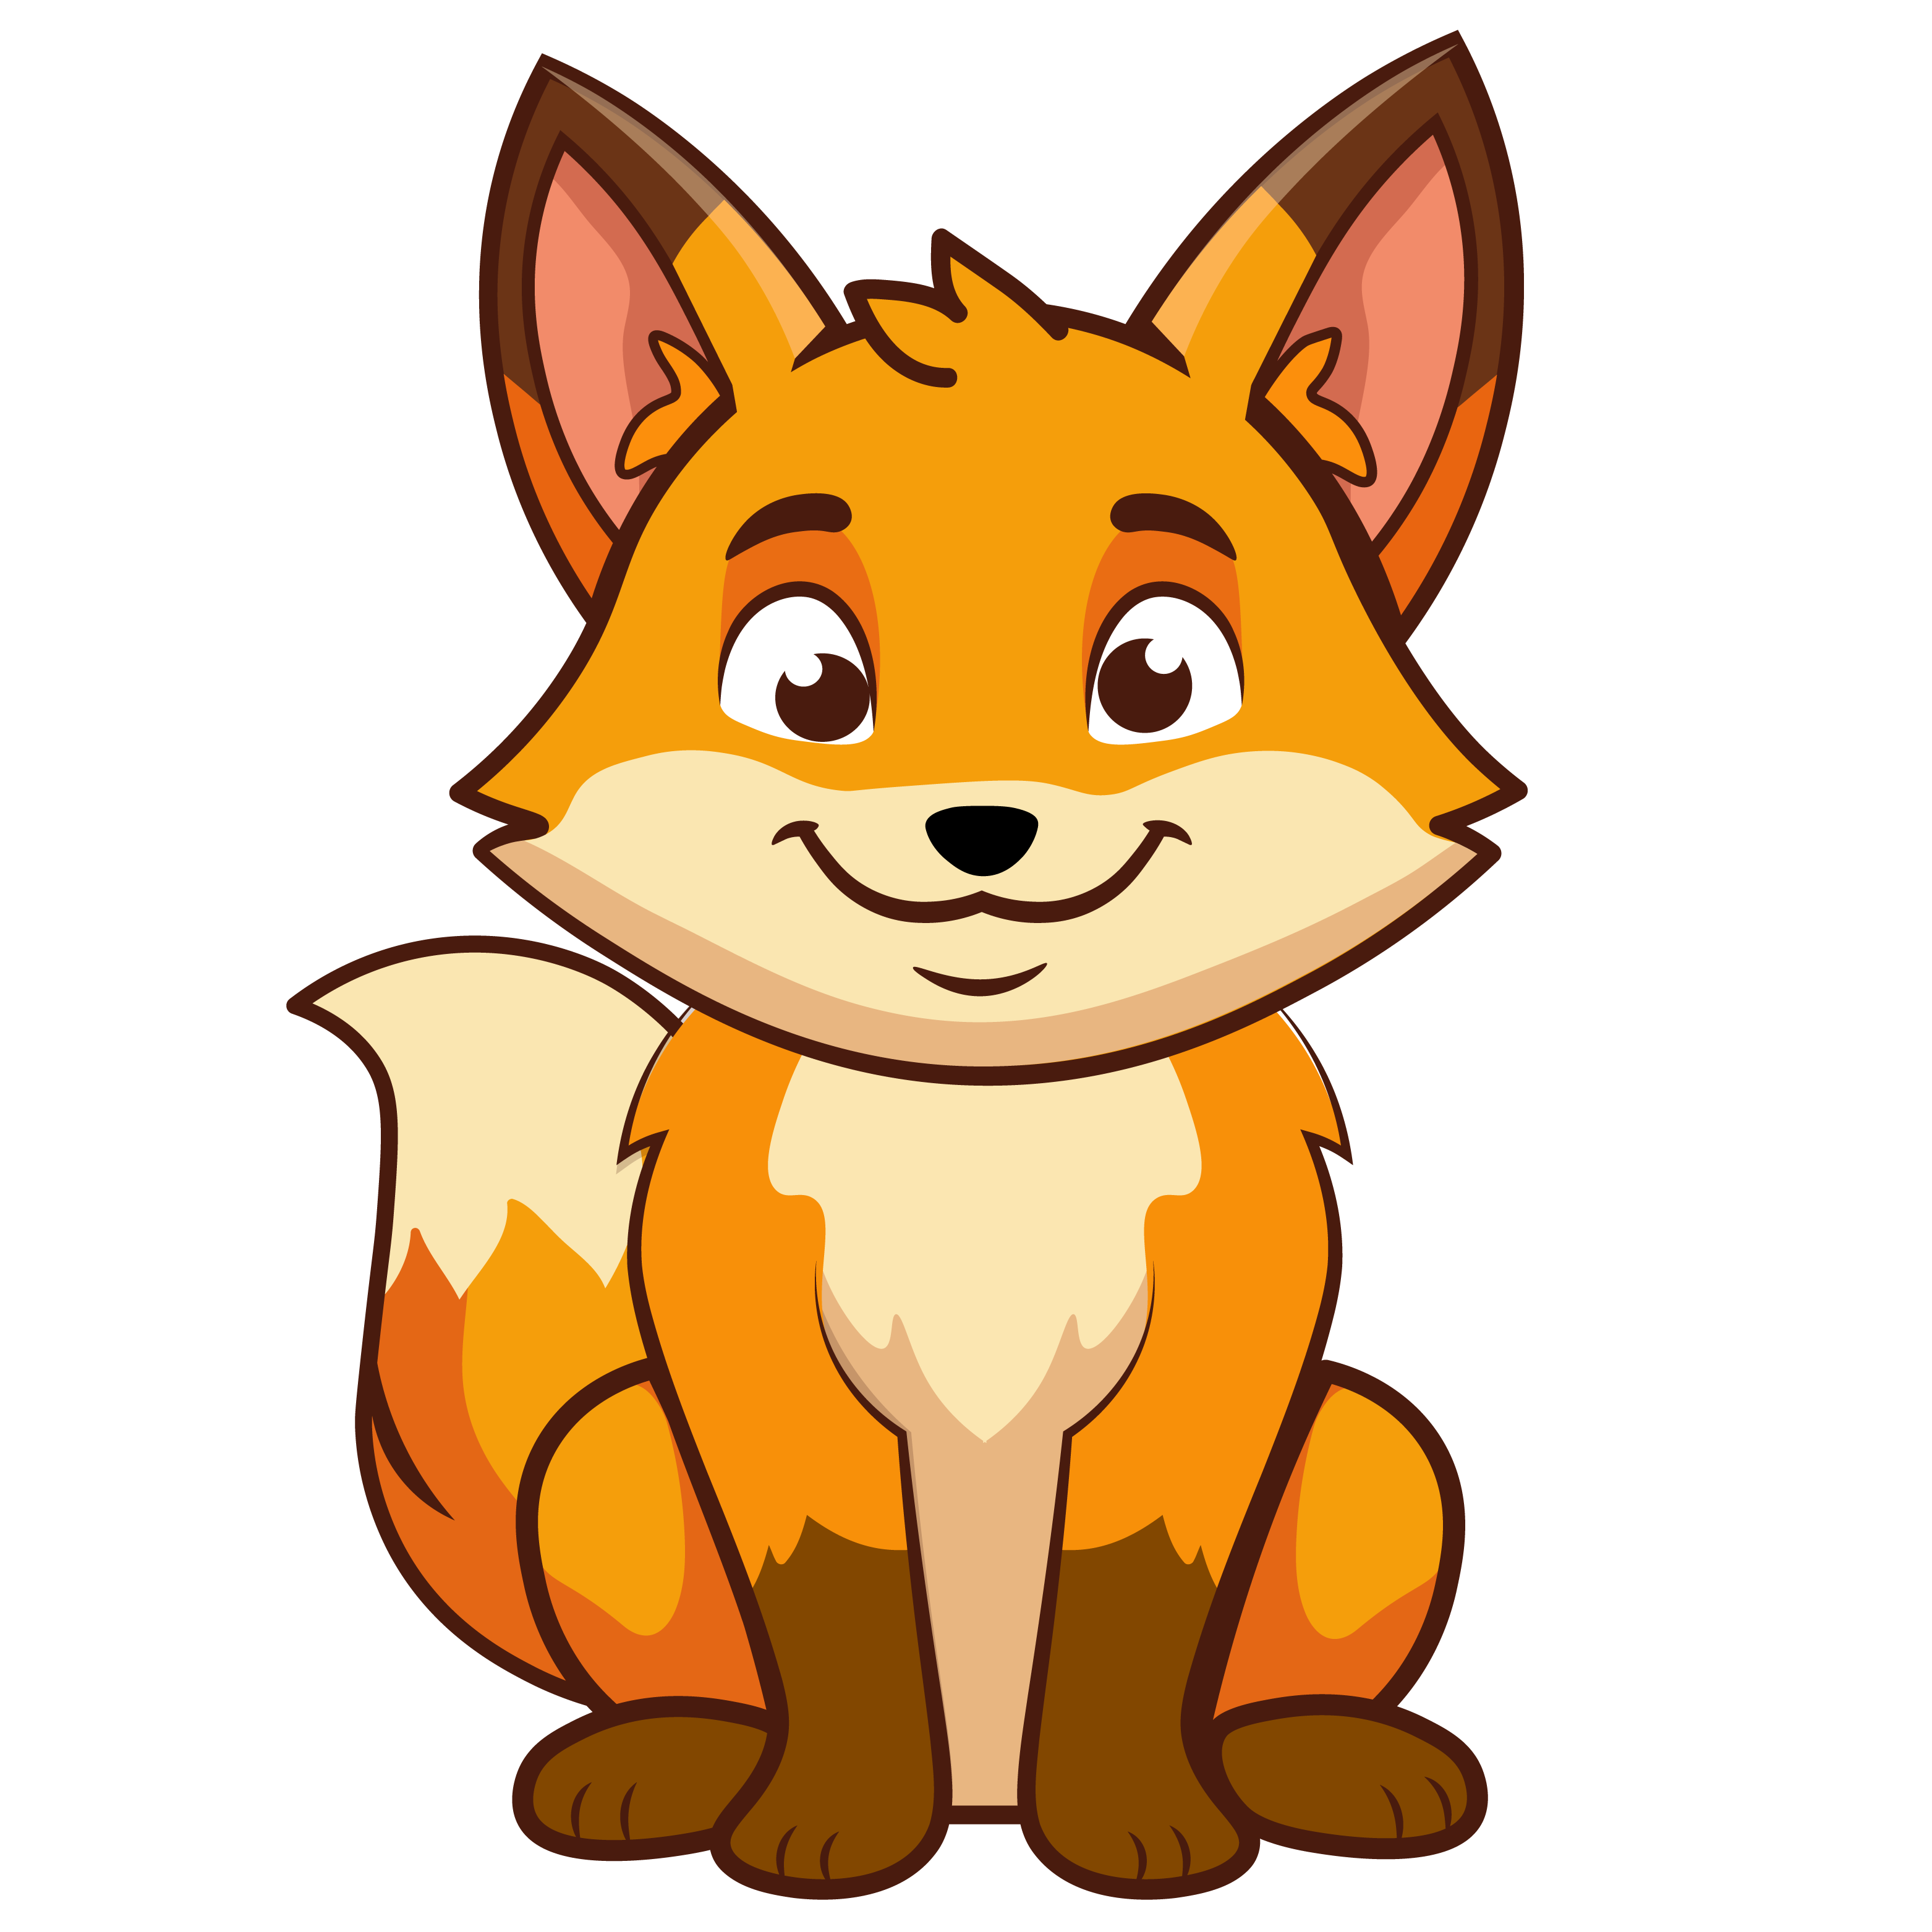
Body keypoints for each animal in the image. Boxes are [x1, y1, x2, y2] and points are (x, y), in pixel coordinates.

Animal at [293, 37, 1523, 1900]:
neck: (980, 1126)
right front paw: (828, 1825)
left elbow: (1133, 1609)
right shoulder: (763, 1379)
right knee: (703, 1671)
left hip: (1374, 1446)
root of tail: (984, 1799)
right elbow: (837, 1607)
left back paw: (1311, 1757)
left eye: (1154, 675)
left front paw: (1141, 1825)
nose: (979, 832)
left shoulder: (1210, 1375)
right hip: (611, 1445)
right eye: (807, 681)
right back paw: (668, 1758)